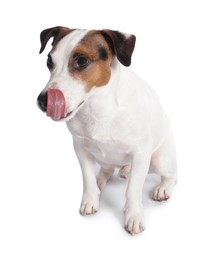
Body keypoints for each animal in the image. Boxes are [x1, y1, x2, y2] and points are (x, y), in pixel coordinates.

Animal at [37, 26, 177, 236]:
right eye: (49, 62)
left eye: (82, 61)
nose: (43, 101)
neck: (98, 108)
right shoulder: (80, 148)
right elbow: (87, 178)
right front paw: (91, 199)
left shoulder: (141, 152)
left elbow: (134, 189)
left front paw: (133, 215)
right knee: (108, 168)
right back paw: (104, 177)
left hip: (160, 160)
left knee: (171, 176)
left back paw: (162, 189)